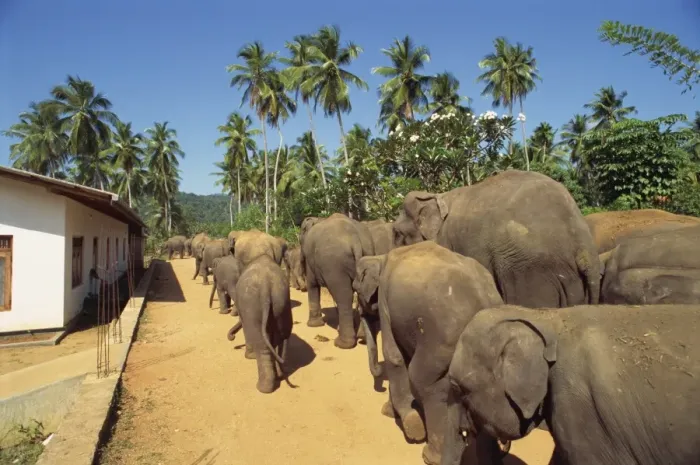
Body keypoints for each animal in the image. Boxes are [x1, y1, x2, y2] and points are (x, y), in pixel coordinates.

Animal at [226, 254, 294, 394]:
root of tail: (265, 287)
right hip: (281, 301)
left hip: (252, 305)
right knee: (280, 337)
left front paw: (249, 356)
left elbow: (246, 327)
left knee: (260, 341)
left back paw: (263, 388)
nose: (232, 337)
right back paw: (279, 375)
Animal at [300, 213, 374, 349]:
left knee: (343, 296)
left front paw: (313, 325)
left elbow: (312, 284)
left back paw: (342, 343)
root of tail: (355, 239)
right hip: (368, 253)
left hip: (335, 265)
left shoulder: (310, 256)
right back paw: (362, 338)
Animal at [353, 241, 505, 465]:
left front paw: (410, 423)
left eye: (355, 289)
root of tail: (485, 301)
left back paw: (430, 455)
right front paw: (390, 411)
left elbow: (394, 356)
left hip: (440, 342)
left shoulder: (385, 301)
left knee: (426, 384)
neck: (381, 257)